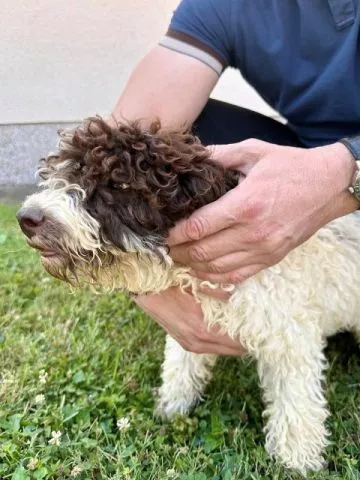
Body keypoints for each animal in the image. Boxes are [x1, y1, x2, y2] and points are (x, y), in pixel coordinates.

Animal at [16, 117, 360, 472]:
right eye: (65, 173)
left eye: (118, 185)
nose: (27, 218)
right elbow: (181, 361)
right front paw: (172, 405)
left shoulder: (290, 336)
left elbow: (296, 400)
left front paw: (297, 457)